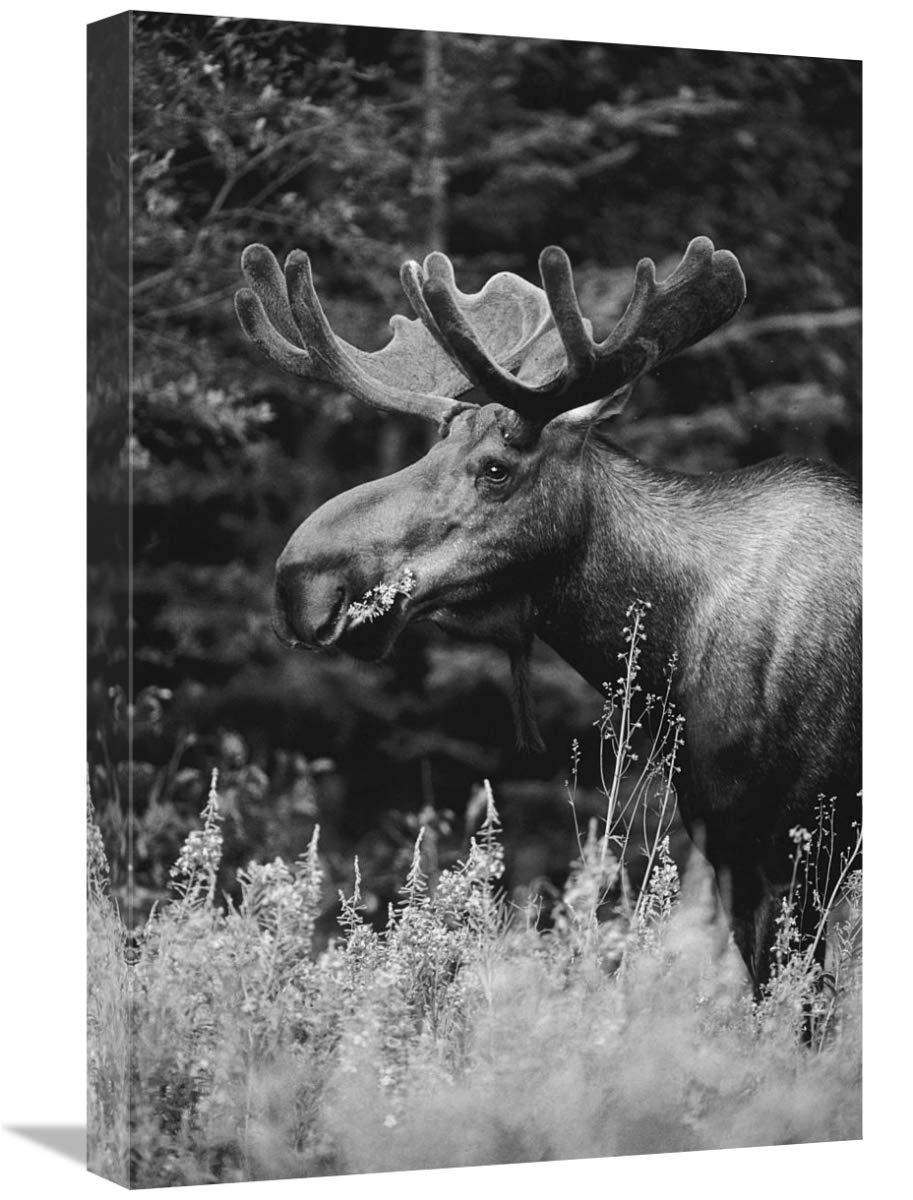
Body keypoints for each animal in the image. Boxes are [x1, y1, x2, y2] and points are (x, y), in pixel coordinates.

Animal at [235, 235, 861, 998]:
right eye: (430, 450)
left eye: (496, 469)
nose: (301, 580)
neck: (674, 655)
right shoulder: (728, 846)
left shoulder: (805, 843)